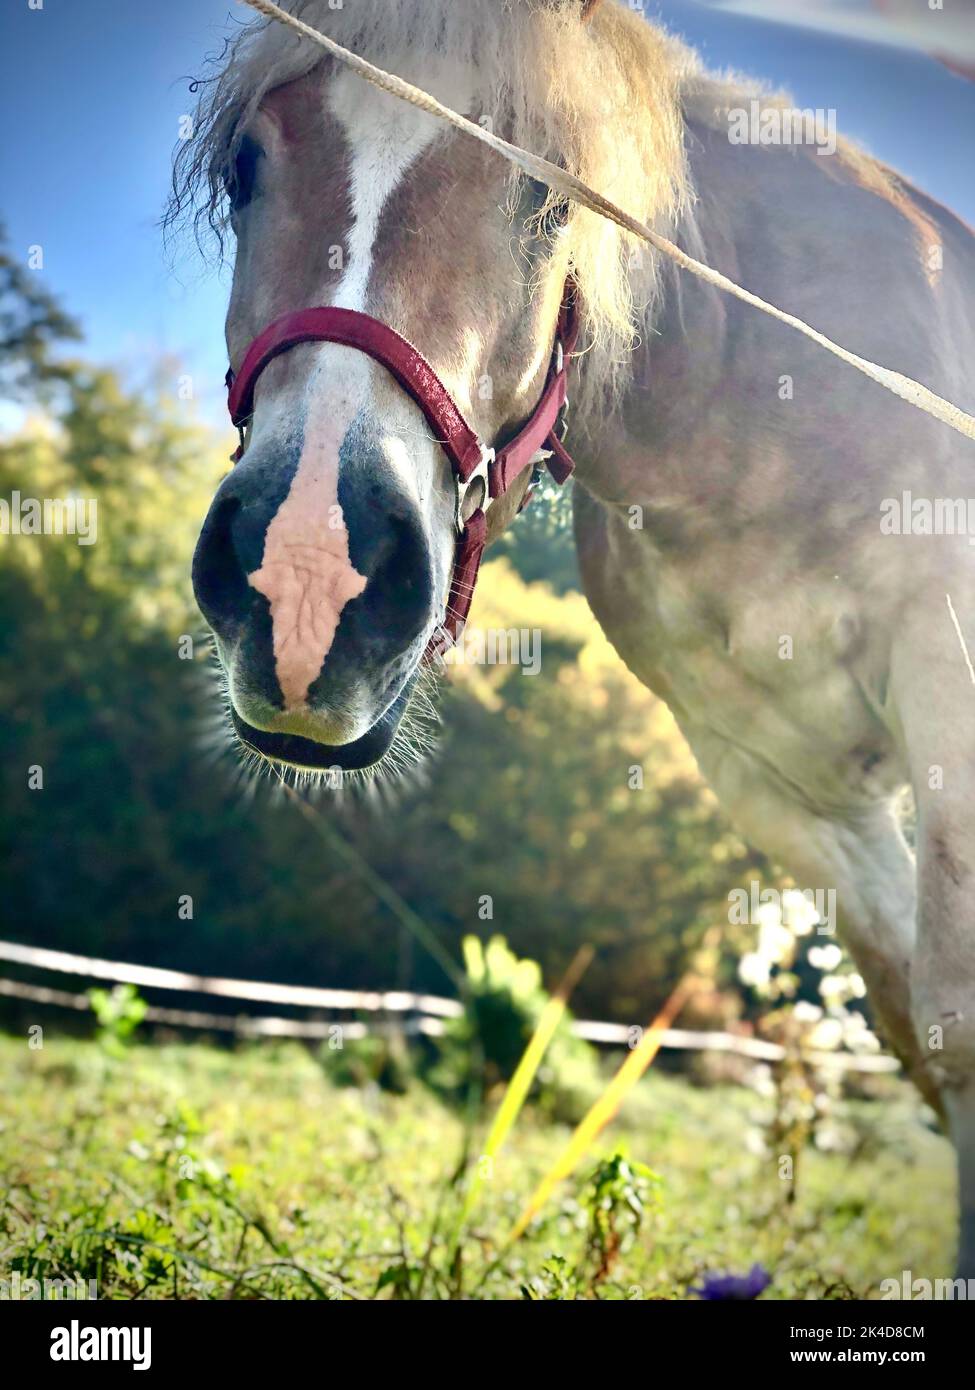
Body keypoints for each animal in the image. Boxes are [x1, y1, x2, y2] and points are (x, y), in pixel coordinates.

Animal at [175, 0, 973, 1278]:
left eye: (550, 201)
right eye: (248, 168)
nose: (307, 574)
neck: (761, 399)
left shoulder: (945, 681)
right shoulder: (786, 789)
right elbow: (919, 1031)